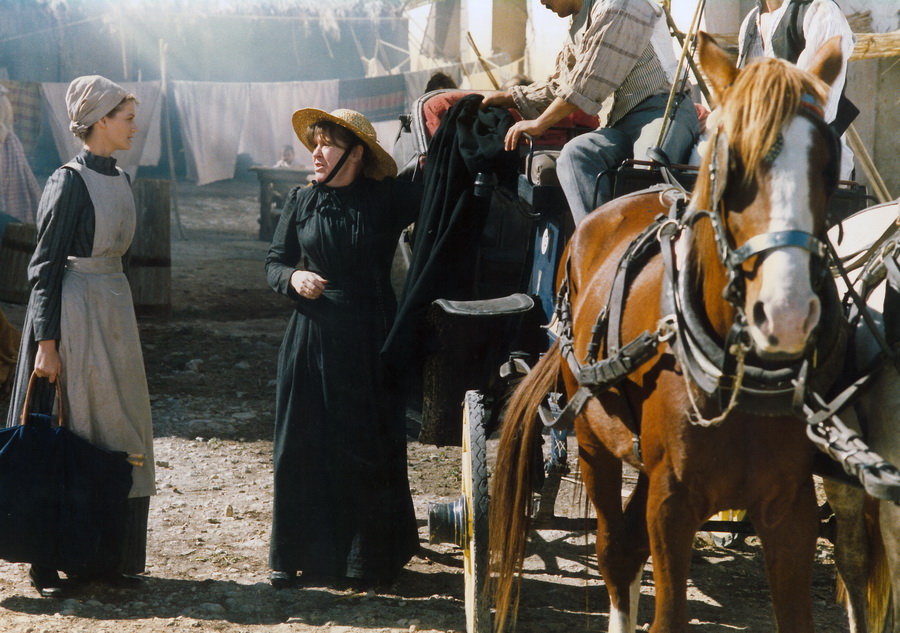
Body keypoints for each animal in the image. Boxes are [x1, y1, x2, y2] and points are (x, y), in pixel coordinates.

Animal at [489, 33, 847, 633]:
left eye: (827, 164)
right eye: (731, 163)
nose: (787, 312)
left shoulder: (790, 506)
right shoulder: (672, 502)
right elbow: (665, 610)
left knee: (628, 550)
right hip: (594, 443)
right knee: (614, 550)